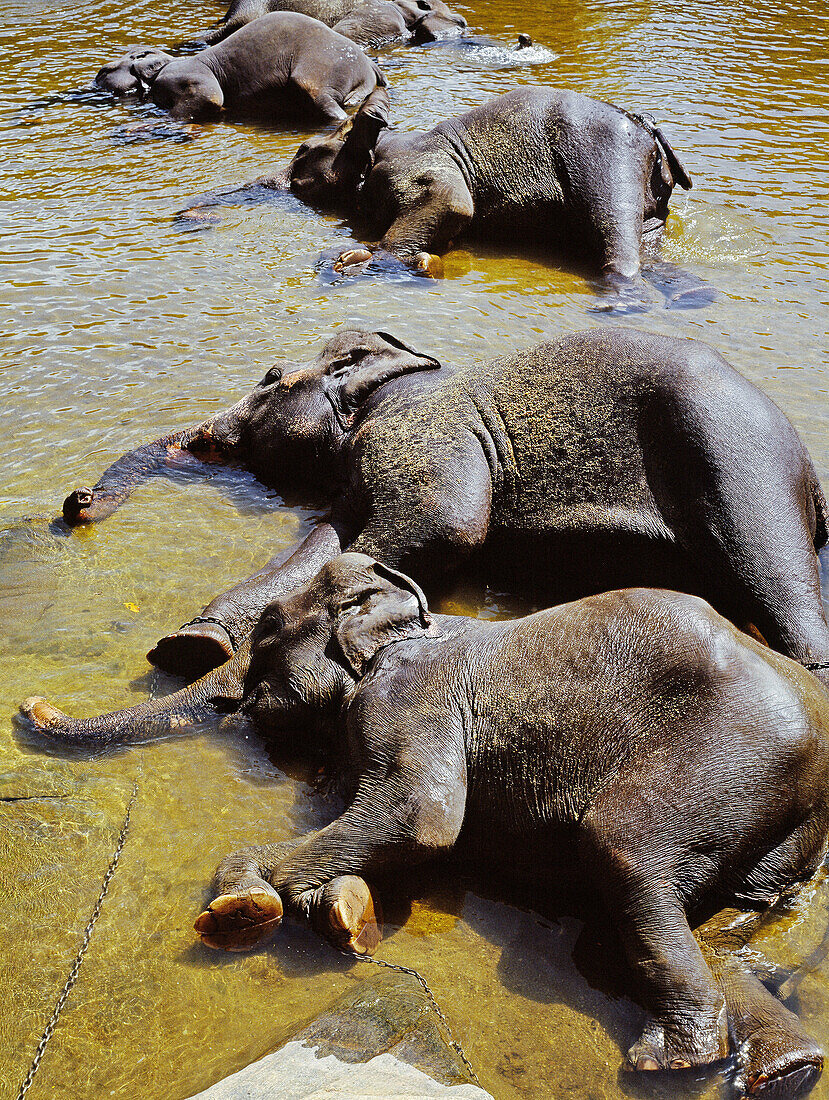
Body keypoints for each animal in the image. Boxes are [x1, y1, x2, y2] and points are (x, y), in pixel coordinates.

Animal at [17, 554, 826, 1095]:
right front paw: (340, 911)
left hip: (718, 763)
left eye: (270, 628)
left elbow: (423, 818)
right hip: (769, 839)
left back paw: (671, 1058)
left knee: (622, 856)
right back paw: (782, 1069)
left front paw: (243, 903)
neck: (405, 615)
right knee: (712, 930)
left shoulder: (409, 694)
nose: (30, 707)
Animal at [56, 327, 826, 686]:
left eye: (270, 379)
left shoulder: (425, 435)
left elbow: (443, 526)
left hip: (735, 457)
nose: (77, 502)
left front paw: (197, 652)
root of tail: (811, 481)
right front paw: (195, 647)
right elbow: (330, 536)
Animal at [274, 82, 694, 297]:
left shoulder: (409, 165)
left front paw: (351, 260)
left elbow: (452, 203)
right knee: (648, 239)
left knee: (615, 236)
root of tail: (645, 127)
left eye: (302, 152)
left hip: (605, 159)